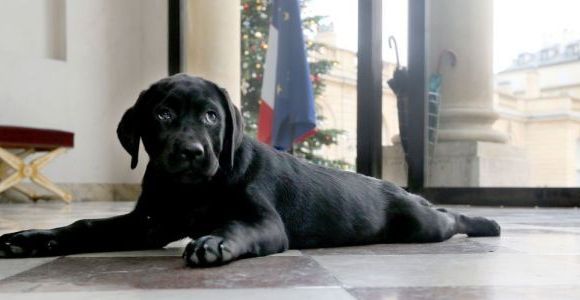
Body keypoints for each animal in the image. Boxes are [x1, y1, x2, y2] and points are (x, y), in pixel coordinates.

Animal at [0, 75, 498, 268]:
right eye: (163, 115)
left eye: (211, 116)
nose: (192, 152)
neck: (192, 190)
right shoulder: (148, 224)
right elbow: (86, 224)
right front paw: (30, 239)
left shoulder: (263, 222)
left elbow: (238, 226)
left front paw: (215, 242)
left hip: (420, 225)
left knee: (447, 217)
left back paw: (486, 222)